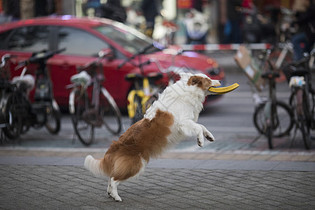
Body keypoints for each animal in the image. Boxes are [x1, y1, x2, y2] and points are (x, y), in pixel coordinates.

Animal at [85, 72, 221, 202]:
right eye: (208, 79)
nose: (219, 80)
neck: (188, 90)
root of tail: (114, 146)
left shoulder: (188, 122)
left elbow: (202, 126)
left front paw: (209, 136)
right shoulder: (183, 123)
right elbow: (198, 127)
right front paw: (200, 141)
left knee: (111, 177)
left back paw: (111, 194)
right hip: (135, 166)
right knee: (114, 179)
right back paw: (117, 197)